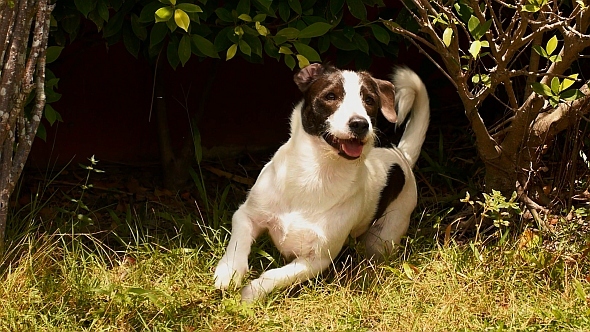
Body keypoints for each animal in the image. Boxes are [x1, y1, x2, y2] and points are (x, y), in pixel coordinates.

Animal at [213, 61, 430, 300]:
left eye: (369, 100)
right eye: (331, 96)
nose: (360, 123)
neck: (315, 174)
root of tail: (402, 155)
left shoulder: (318, 259)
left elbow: (275, 275)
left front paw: (251, 294)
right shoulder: (246, 214)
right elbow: (238, 241)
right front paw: (229, 272)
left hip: (383, 236)